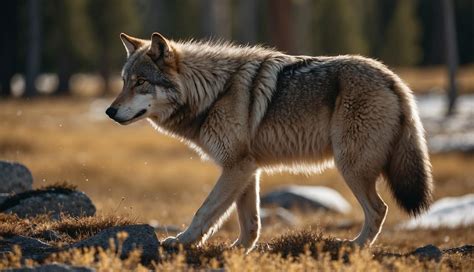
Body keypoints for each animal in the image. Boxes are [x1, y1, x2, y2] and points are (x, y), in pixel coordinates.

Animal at [106, 31, 434, 251]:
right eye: (124, 82)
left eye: (140, 82)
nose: (109, 111)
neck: (213, 93)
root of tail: (394, 79)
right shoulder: (247, 169)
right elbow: (250, 221)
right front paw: (239, 250)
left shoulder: (235, 167)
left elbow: (205, 211)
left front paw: (183, 241)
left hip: (351, 167)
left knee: (379, 210)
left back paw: (355, 246)